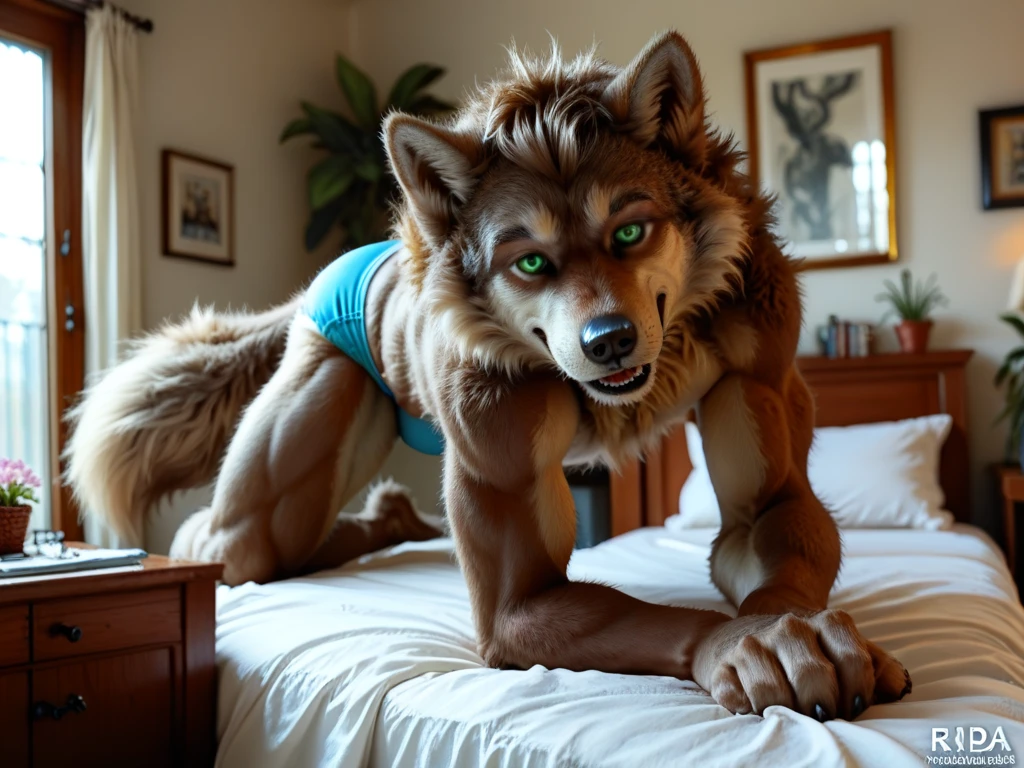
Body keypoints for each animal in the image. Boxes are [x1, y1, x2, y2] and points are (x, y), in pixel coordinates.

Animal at [66, 31, 911, 718]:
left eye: (630, 231)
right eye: (530, 263)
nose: (608, 341)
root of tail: (354, 259)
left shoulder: (760, 371)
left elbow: (767, 513)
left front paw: (784, 626)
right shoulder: (504, 505)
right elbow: (558, 600)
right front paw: (748, 642)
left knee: (302, 545)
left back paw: (396, 524)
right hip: (306, 416)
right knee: (232, 541)